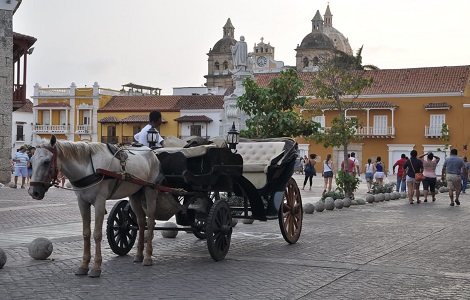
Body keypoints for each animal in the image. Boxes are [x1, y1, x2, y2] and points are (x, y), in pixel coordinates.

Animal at [29, 135, 162, 276]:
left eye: (46, 162)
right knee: (141, 222)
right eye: (31, 161)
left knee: (151, 222)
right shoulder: (82, 203)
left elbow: (97, 234)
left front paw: (96, 267)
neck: (87, 169)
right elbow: (86, 233)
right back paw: (139, 255)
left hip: (150, 192)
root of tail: (152, 152)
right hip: (135, 195)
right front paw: (83, 265)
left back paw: (148, 256)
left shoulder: (99, 202)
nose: (33, 192)